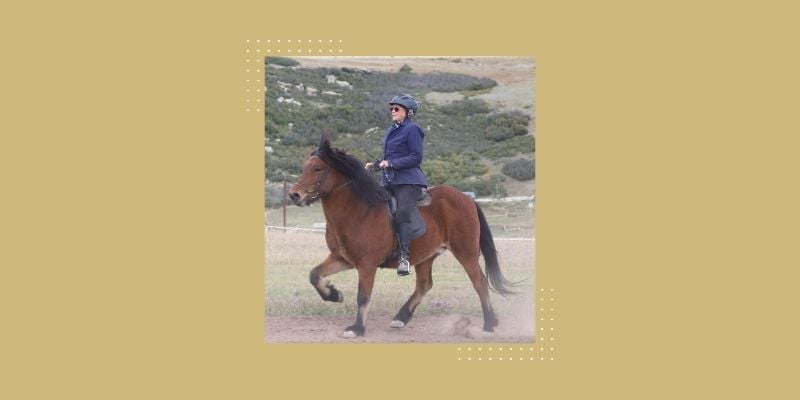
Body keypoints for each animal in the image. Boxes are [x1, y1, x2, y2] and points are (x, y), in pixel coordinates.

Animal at [287, 134, 515, 338]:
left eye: (318, 168)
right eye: (305, 167)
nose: (294, 195)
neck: (358, 211)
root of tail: (467, 199)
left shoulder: (367, 264)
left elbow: (363, 296)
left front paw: (357, 328)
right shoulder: (342, 258)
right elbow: (314, 275)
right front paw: (334, 295)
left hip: (465, 251)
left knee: (479, 282)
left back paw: (488, 324)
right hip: (426, 255)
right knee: (424, 284)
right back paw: (401, 317)